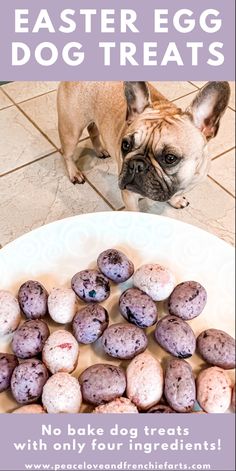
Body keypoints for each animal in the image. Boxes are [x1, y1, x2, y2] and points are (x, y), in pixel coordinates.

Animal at [57, 81, 230, 210]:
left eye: (170, 158)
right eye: (125, 145)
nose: (136, 165)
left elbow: (175, 193)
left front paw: (176, 200)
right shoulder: (130, 195)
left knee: (93, 129)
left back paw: (100, 149)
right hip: (71, 128)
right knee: (67, 153)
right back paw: (74, 173)